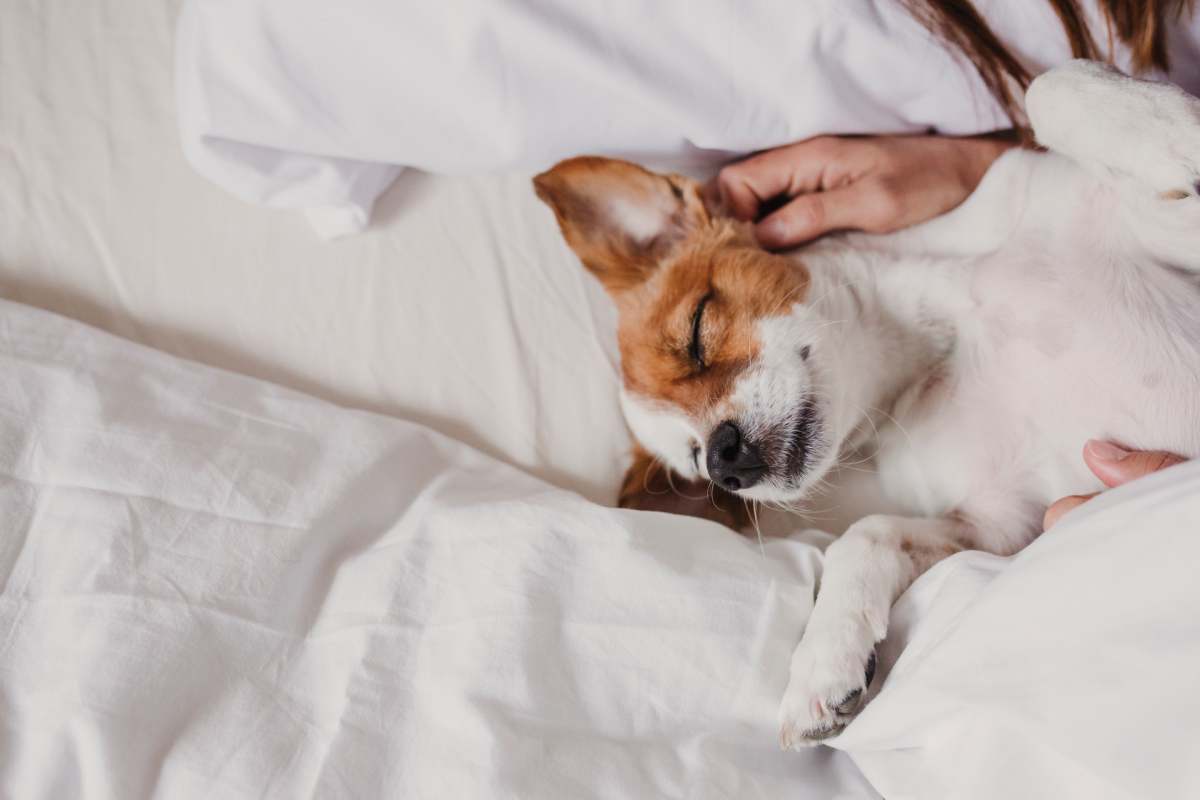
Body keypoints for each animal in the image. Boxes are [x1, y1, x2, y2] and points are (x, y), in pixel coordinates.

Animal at [532, 64, 1200, 753]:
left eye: (696, 331)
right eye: (695, 466)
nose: (723, 461)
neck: (941, 330)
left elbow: (1052, 85)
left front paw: (1168, 134)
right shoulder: (1001, 522)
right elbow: (866, 535)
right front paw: (823, 661)